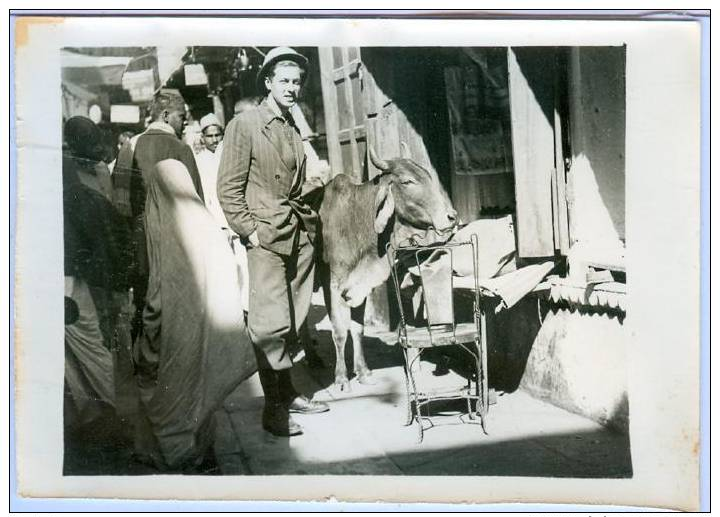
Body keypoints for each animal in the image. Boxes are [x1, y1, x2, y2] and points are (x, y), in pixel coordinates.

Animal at [318, 143, 458, 390]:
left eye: (429, 177)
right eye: (408, 181)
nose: (451, 217)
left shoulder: (360, 287)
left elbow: (357, 328)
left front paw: (363, 371)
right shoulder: (334, 282)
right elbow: (340, 331)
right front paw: (341, 378)